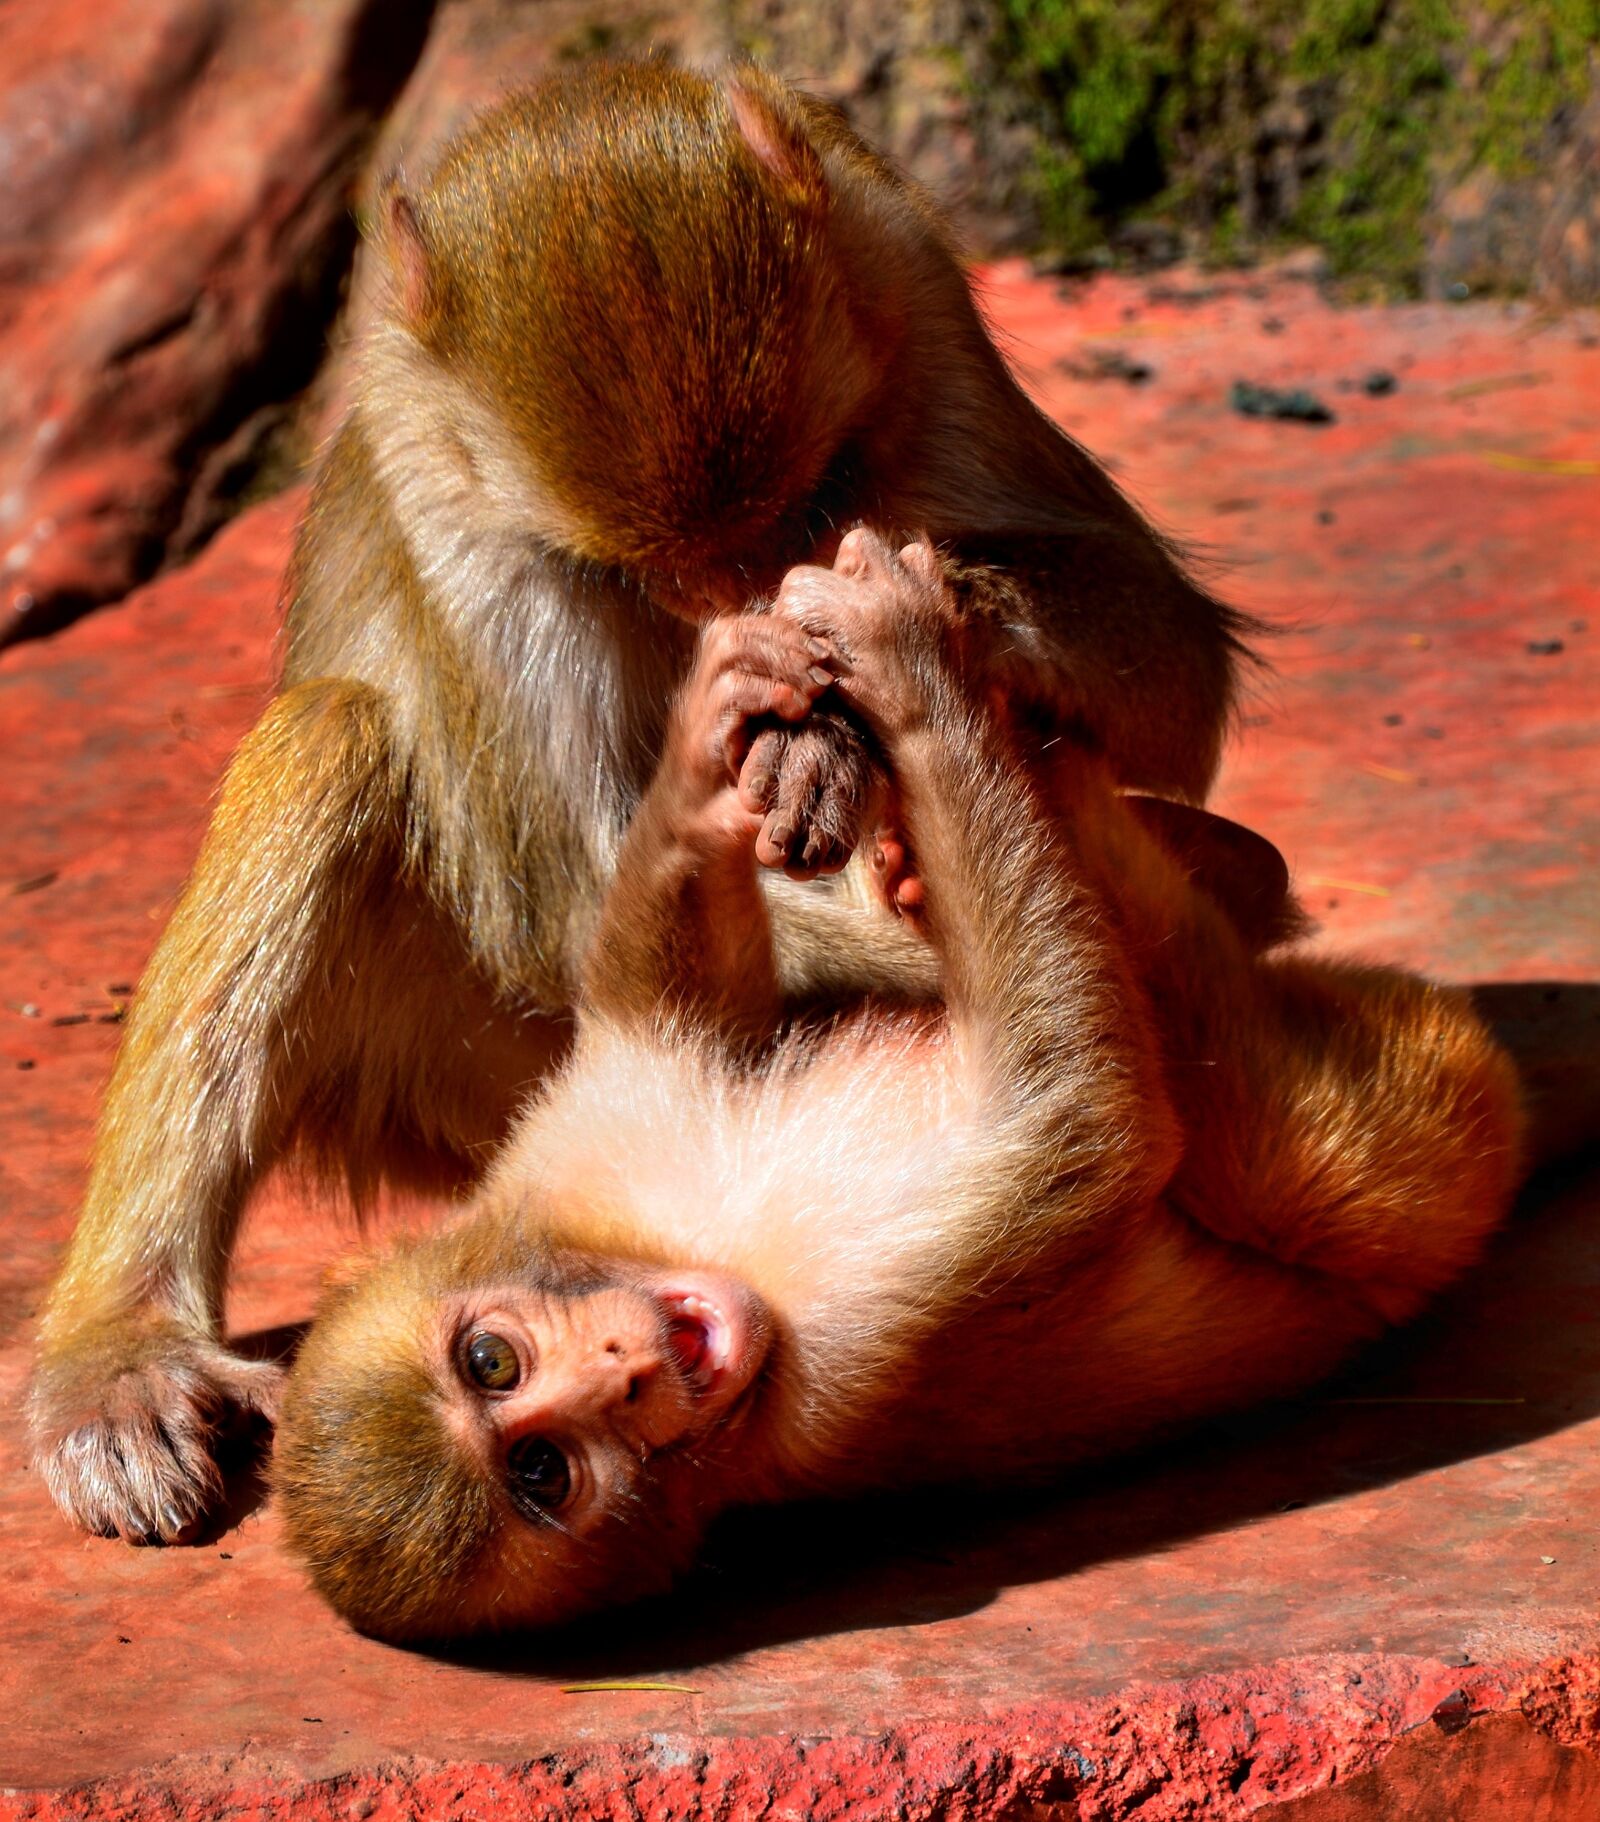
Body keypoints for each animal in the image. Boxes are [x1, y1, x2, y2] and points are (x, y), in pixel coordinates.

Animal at [31, 62, 1255, 1545]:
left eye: (813, 497)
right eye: (633, 569)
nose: (746, 592)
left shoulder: (905, 286)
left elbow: (1178, 679)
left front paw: (863, 685)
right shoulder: (450, 493)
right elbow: (566, 898)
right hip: (463, 1066)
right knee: (334, 742)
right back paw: (121, 1350)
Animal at [273, 528, 1524, 1644]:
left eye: (493, 1360)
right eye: (544, 1470)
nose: (623, 1375)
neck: (702, 1251)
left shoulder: (575, 1137)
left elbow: (682, 1004)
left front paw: (715, 734)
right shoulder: (845, 1342)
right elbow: (1085, 1123)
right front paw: (916, 680)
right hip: (1410, 1165)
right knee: (1270, 1123)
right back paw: (1008, 751)